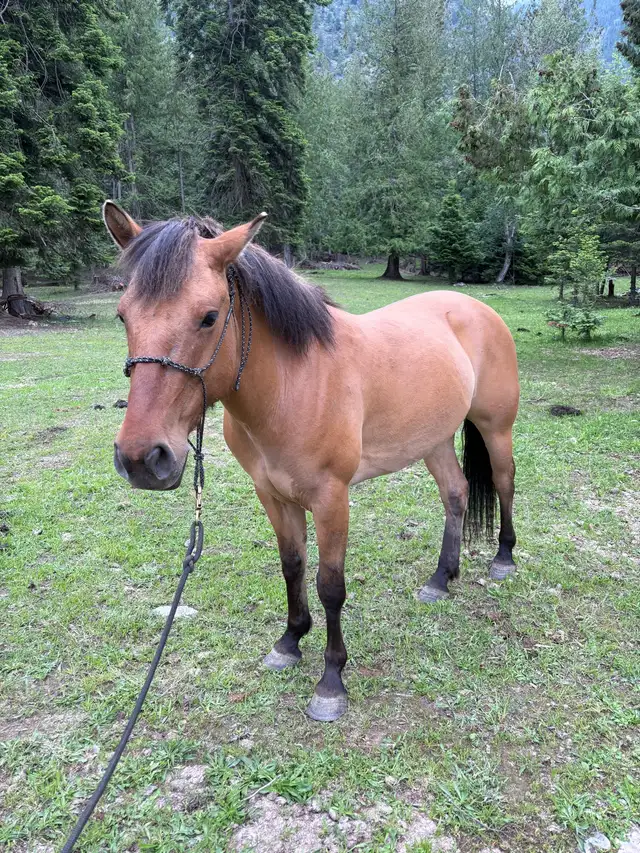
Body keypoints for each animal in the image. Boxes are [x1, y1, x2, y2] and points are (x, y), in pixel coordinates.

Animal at [103, 201, 519, 723]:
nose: (142, 458)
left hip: (495, 429)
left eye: (208, 317)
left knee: (503, 482)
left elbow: (330, 585)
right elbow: (292, 566)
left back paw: (503, 558)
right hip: (435, 439)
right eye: (122, 316)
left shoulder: (330, 498)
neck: (292, 384)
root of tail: (476, 308)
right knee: (456, 494)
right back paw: (441, 579)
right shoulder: (272, 494)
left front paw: (331, 680)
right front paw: (289, 641)